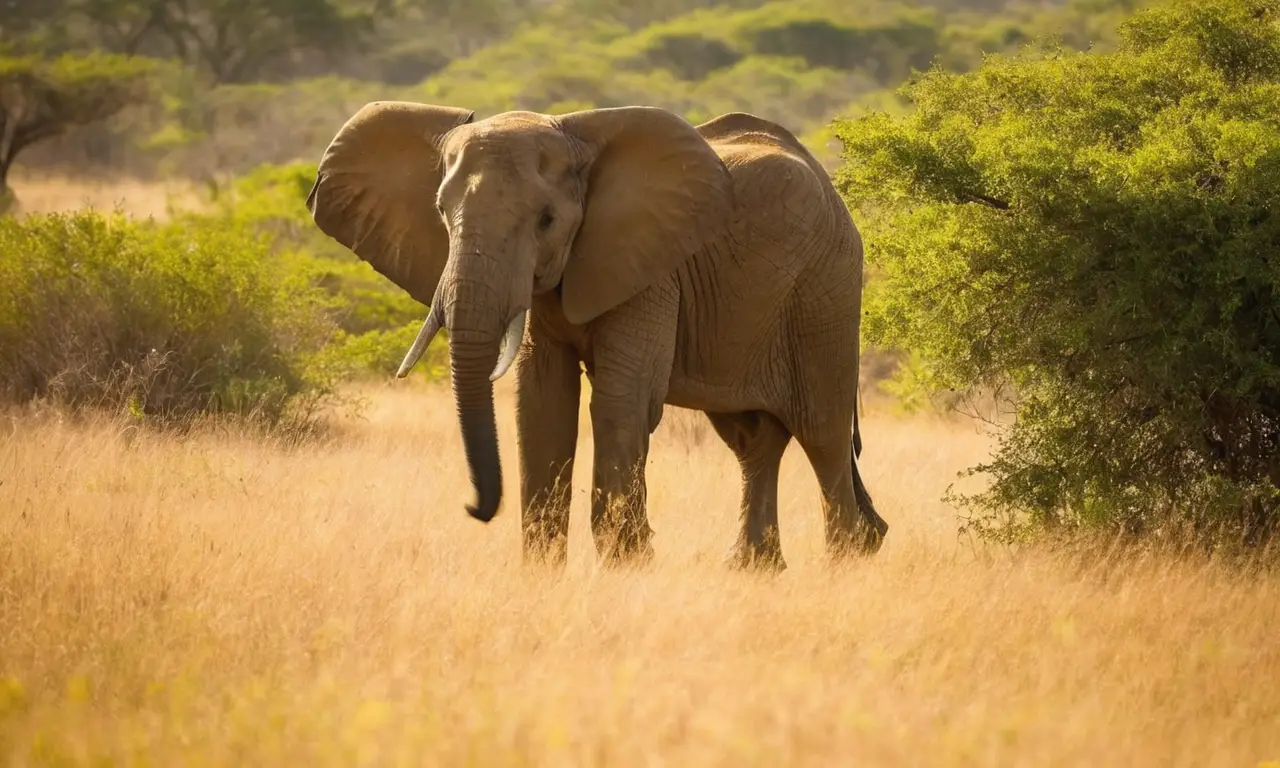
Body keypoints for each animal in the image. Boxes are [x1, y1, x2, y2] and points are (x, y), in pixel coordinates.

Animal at [305, 101, 888, 570]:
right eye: (442, 214)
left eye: (546, 220)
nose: (474, 508)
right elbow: (542, 405)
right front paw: (544, 576)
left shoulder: (652, 270)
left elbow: (621, 400)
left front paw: (627, 568)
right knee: (754, 440)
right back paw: (754, 571)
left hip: (826, 289)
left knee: (822, 432)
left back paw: (847, 562)